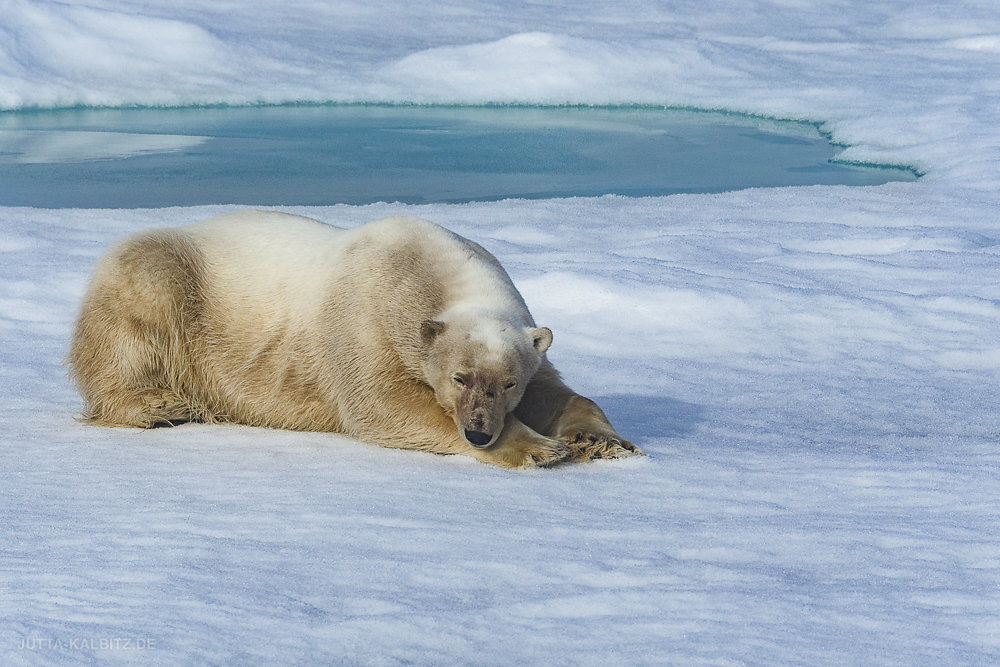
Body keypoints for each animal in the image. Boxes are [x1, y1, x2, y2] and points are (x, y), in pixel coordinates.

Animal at [66, 211, 640, 468]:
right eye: (459, 378)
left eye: (507, 383)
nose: (479, 432)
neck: (428, 269)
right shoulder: (366, 320)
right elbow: (384, 404)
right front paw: (538, 448)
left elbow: (556, 388)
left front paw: (599, 440)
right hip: (173, 286)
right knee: (136, 319)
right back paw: (157, 405)